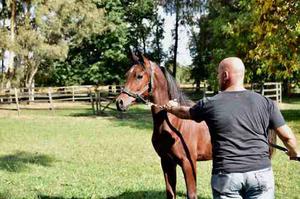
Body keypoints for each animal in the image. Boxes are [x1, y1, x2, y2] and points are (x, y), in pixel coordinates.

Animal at [116, 53, 212, 199]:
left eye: (139, 76)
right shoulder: (166, 162)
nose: (120, 102)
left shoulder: (188, 163)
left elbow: (191, 194)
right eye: (127, 75)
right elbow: (170, 192)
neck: (175, 124)